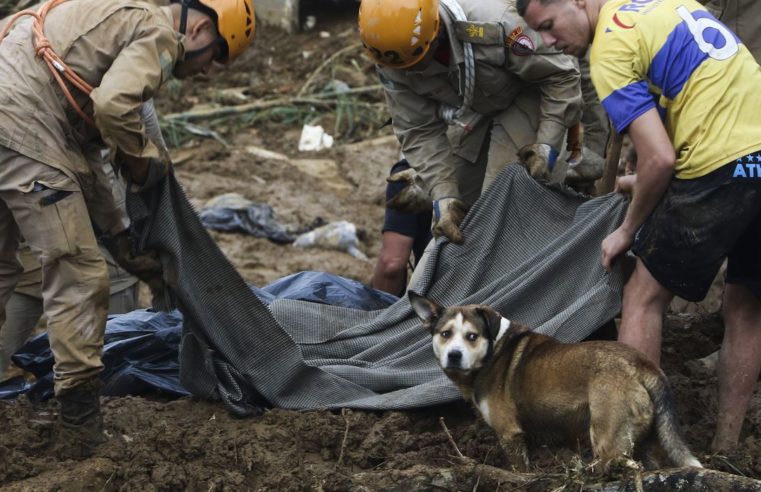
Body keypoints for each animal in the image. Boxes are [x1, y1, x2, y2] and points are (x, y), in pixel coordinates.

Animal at [410, 290, 700, 470]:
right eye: (445, 334)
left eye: (472, 336)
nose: (454, 355)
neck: (493, 350)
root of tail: (642, 364)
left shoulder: (510, 434)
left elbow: (520, 470)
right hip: (647, 439)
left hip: (608, 438)